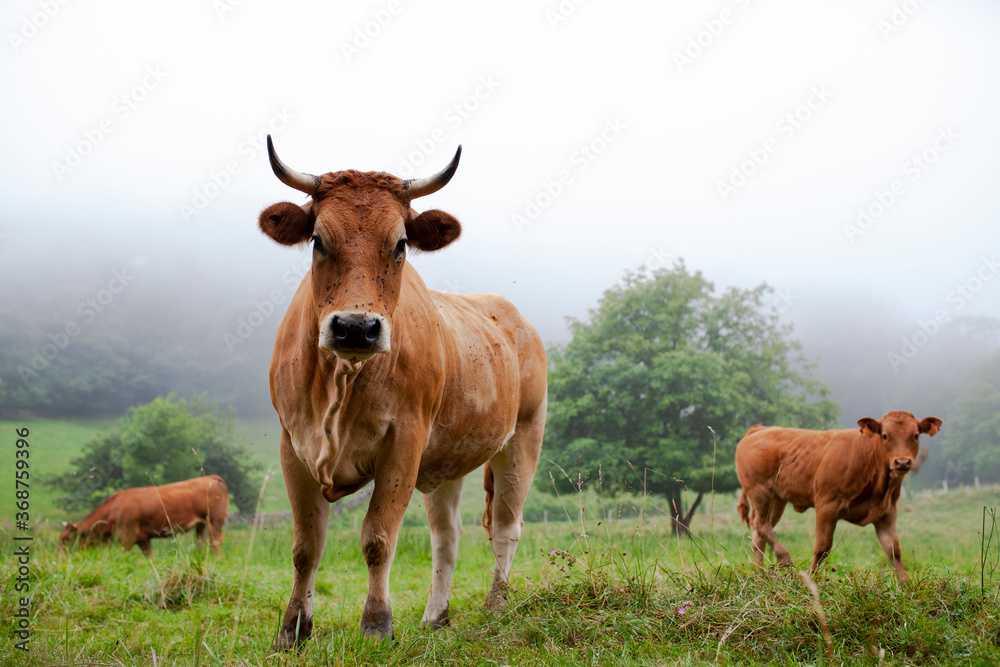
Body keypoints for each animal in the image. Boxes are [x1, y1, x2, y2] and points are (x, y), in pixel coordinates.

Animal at [59, 474, 230, 560]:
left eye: (66, 539)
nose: (59, 557)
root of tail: (212, 478)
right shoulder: (143, 539)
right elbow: (149, 556)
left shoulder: (125, 537)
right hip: (201, 525)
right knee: (201, 543)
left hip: (215, 522)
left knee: (215, 543)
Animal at [254, 137, 548, 648]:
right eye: (317, 240)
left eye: (400, 243)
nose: (356, 328)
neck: (340, 382)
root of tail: (511, 315)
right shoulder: (293, 444)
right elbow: (306, 547)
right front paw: (293, 629)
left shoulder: (403, 443)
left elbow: (378, 538)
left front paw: (376, 623)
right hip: (447, 460)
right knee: (446, 537)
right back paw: (436, 615)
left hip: (522, 441)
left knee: (506, 527)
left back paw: (495, 605)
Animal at [736, 412, 936, 584]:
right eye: (885, 435)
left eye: (915, 435)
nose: (902, 462)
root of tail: (759, 429)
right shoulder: (827, 505)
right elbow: (822, 547)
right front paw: (810, 578)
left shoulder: (887, 511)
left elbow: (893, 549)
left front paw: (906, 585)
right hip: (761, 492)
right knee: (761, 525)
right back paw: (783, 559)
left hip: (777, 499)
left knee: (759, 534)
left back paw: (759, 574)